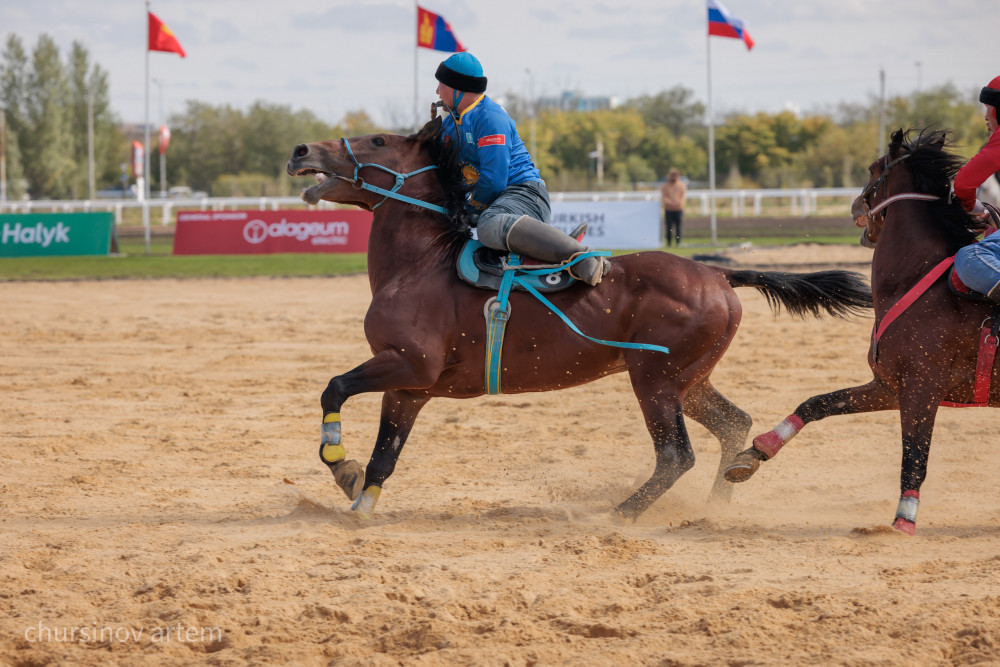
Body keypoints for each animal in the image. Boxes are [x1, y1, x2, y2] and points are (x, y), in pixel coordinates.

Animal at [286, 117, 872, 520]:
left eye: (378, 141)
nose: (300, 149)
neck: (421, 264)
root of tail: (718, 274)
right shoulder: (409, 388)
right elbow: (384, 455)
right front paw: (359, 499)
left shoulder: (407, 365)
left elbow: (334, 387)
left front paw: (339, 461)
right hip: (690, 380)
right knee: (734, 424)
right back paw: (717, 501)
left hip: (655, 380)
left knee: (675, 456)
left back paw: (620, 515)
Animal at [728, 128, 1000, 536]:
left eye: (874, 168)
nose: (855, 205)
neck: (917, 278)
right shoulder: (890, 386)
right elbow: (817, 403)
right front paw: (756, 451)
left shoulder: (921, 388)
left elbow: (914, 456)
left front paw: (904, 520)